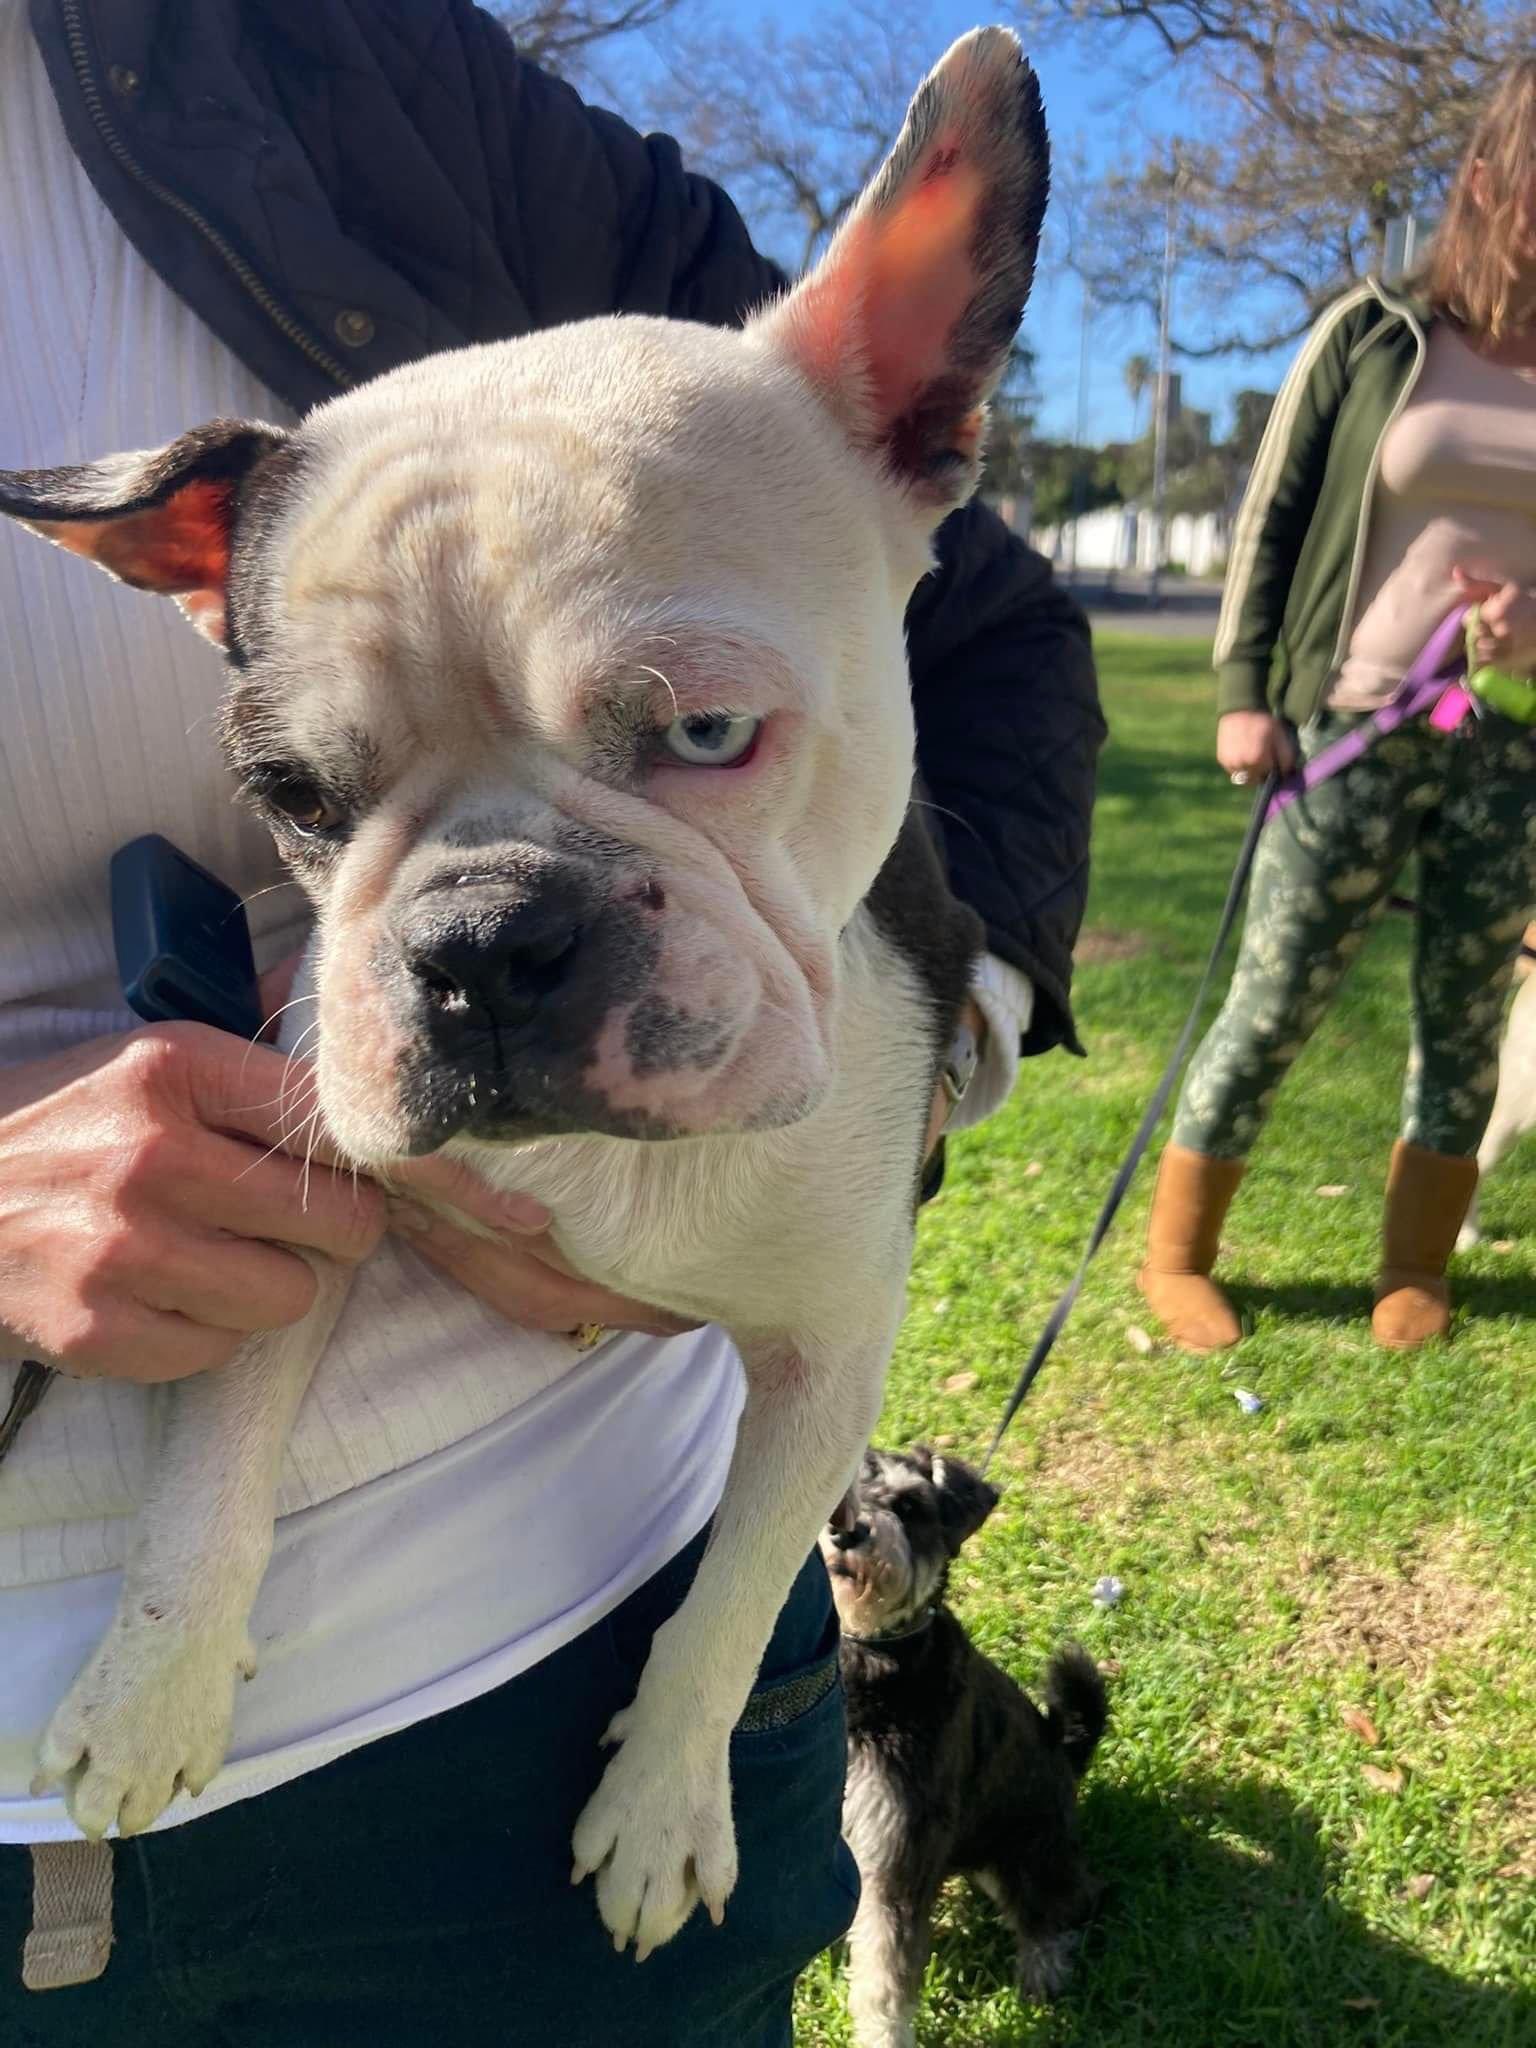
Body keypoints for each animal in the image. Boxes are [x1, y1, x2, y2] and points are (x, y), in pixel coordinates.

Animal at [0, 28, 1056, 1949]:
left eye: (708, 733)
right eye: (293, 797)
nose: (483, 938)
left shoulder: (830, 1357)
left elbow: (735, 1594)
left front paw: (658, 1806)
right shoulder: (292, 1188)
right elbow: (214, 1455)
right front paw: (153, 1683)